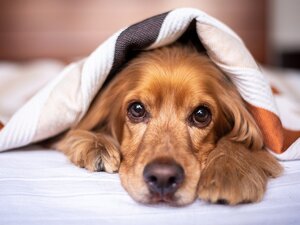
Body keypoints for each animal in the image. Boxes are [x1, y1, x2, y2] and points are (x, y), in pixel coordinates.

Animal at [53, 44, 282, 207]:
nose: (163, 177)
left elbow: (242, 141)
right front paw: (97, 145)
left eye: (201, 114)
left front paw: (229, 171)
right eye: (137, 109)